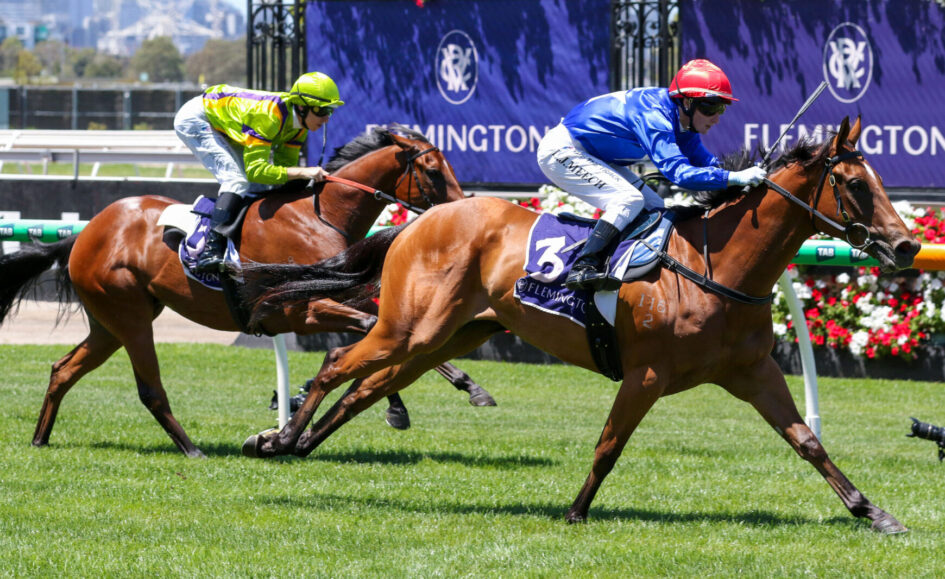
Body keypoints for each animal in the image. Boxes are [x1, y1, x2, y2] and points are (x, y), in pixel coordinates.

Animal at [0, 125, 495, 458]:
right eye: (431, 168)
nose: (465, 208)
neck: (320, 217)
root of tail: (82, 235)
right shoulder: (301, 309)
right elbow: (375, 330)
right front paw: (404, 403)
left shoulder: (335, 296)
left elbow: (384, 334)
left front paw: (458, 389)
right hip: (130, 316)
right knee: (149, 389)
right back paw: (192, 449)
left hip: (110, 321)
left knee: (64, 369)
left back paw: (40, 438)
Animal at [239, 117, 918, 533]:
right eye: (854, 184)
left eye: (879, 180)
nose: (908, 246)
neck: (713, 267)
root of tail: (416, 221)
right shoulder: (646, 374)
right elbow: (609, 445)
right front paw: (576, 510)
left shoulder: (752, 372)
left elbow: (807, 440)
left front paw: (873, 511)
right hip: (409, 328)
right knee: (337, 365)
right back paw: (277, 437)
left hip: (447, 335)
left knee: (365, 390)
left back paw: (298, 442)